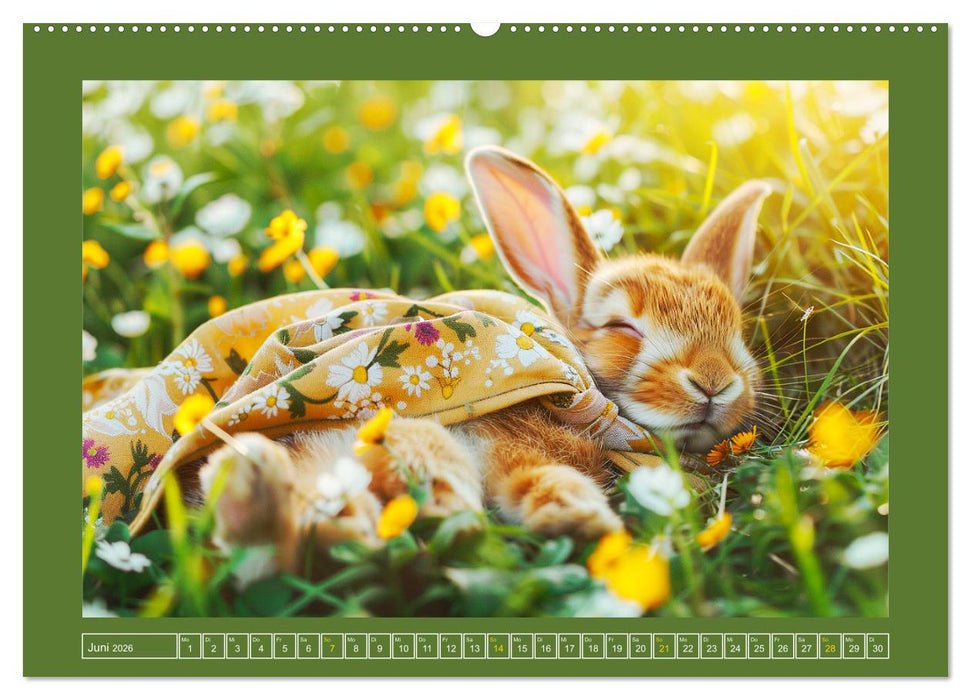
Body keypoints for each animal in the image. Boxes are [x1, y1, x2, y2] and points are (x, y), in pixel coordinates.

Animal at [198, 145, 770, 575]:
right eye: (621, 329)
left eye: (736, 332)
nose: (715, 382)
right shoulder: (508, 443)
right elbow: (542, 478)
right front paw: (583, 521)